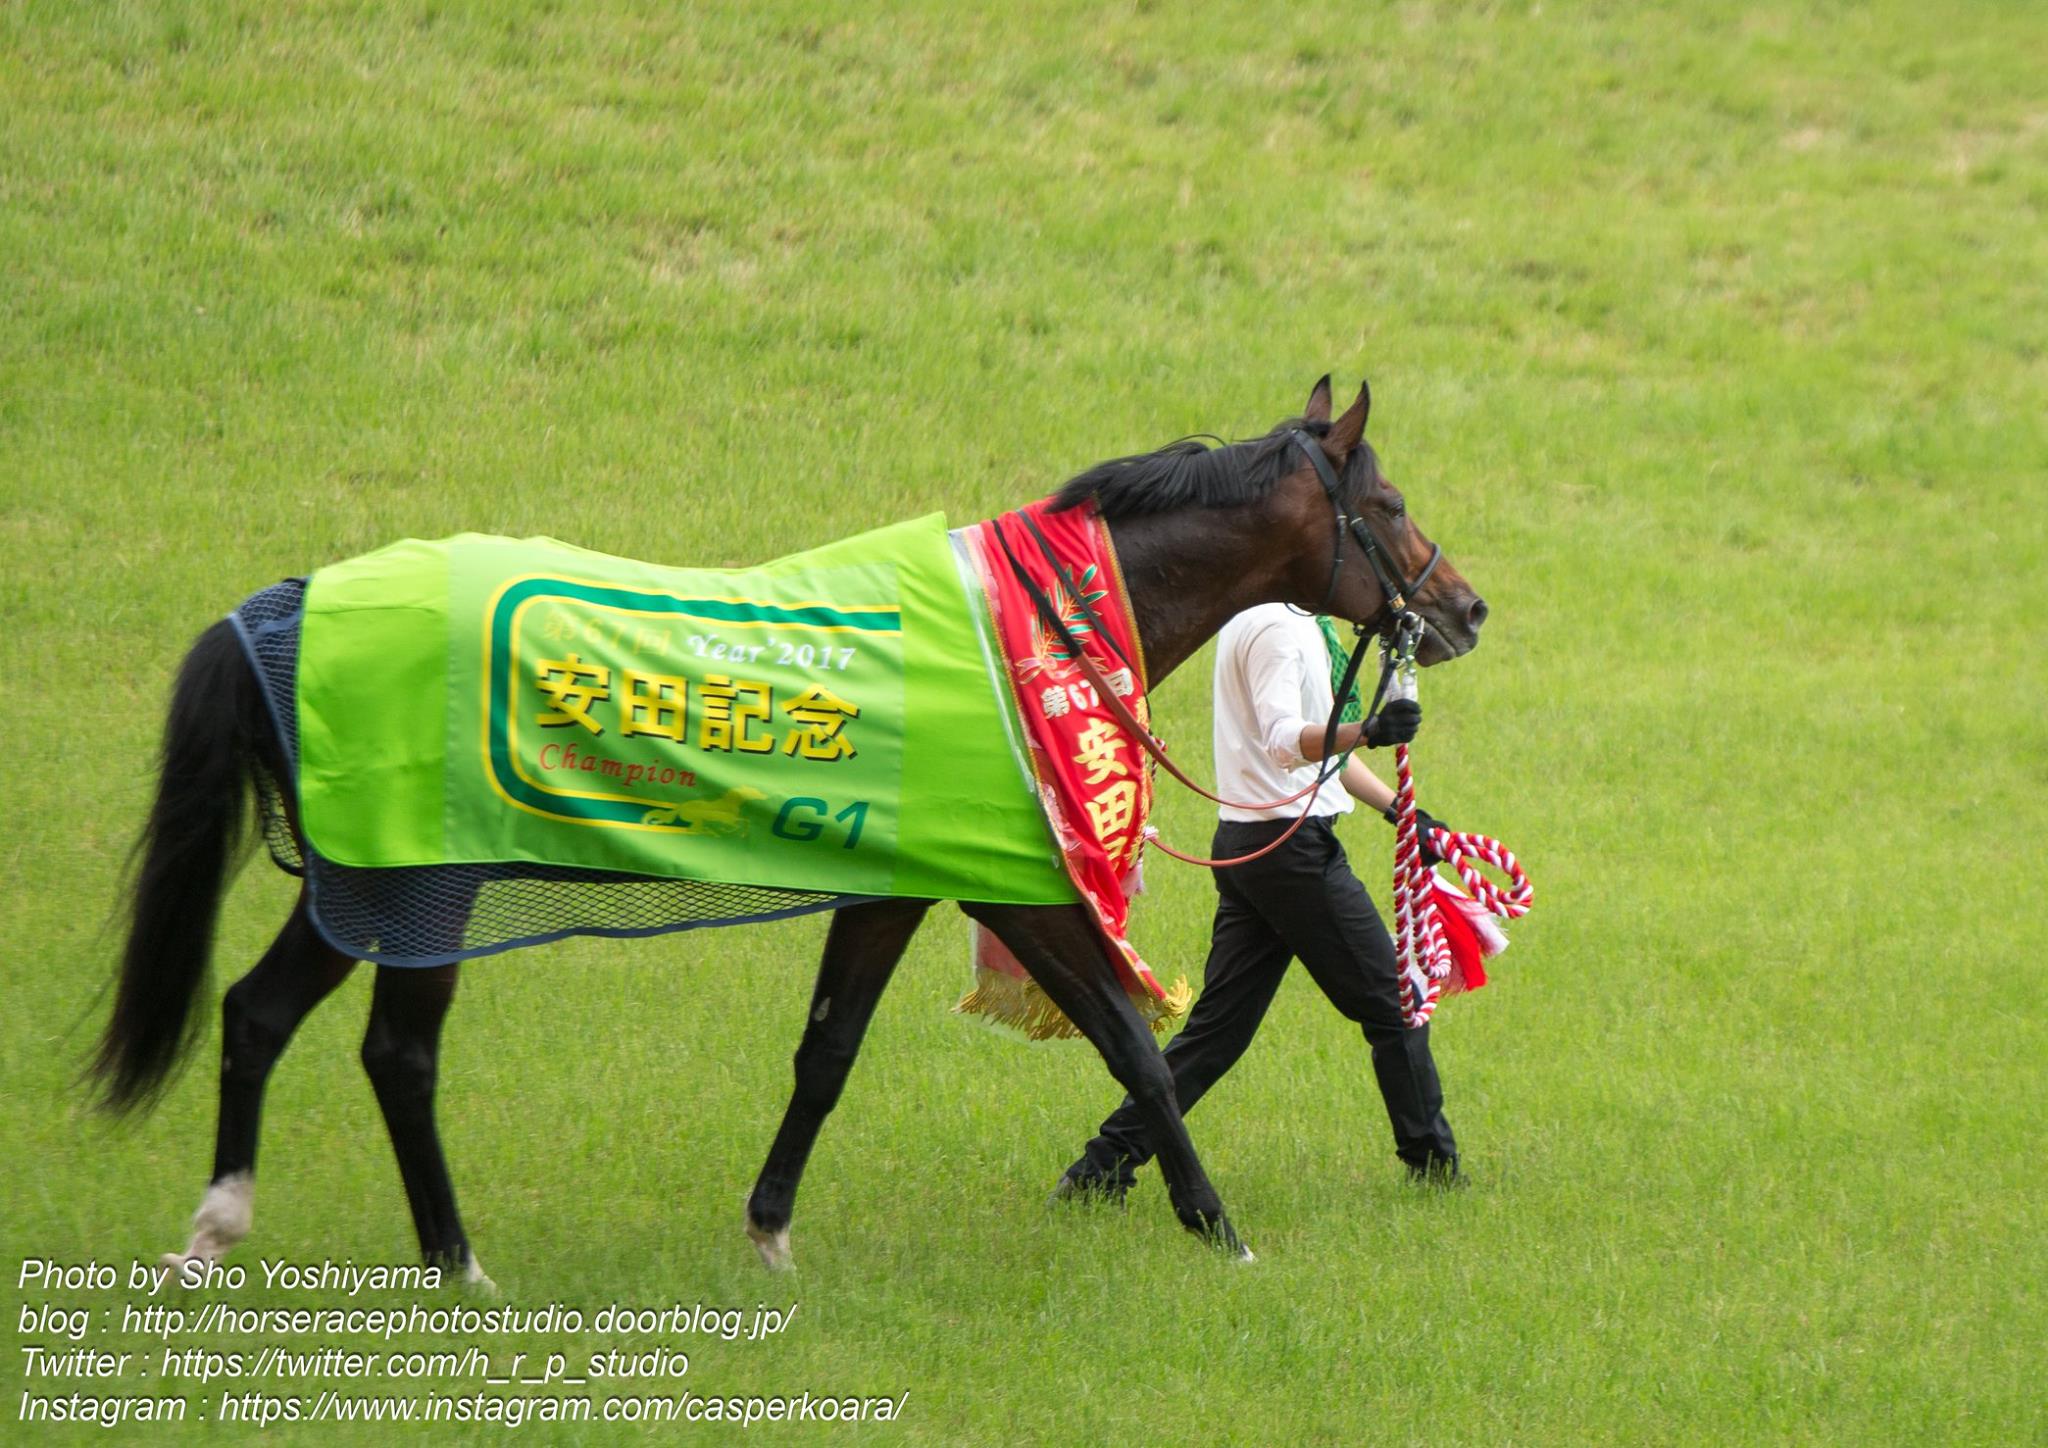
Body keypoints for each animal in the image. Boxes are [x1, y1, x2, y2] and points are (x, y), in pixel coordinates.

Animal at [92, 374, 1490, 1278]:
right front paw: (1218, 1227)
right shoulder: (1019, 886)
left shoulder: (894, 887)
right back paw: (454, 1260)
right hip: (427, 884)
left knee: (260, 1013)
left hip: (364, 879)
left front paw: (768, 1225)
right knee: (396, 1052)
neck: (1025, 632)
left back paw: (219, 1229)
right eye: (1389, 502)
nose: (1465, 606)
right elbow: (1133, 1050)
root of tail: (290, 603)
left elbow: (826, 1052)